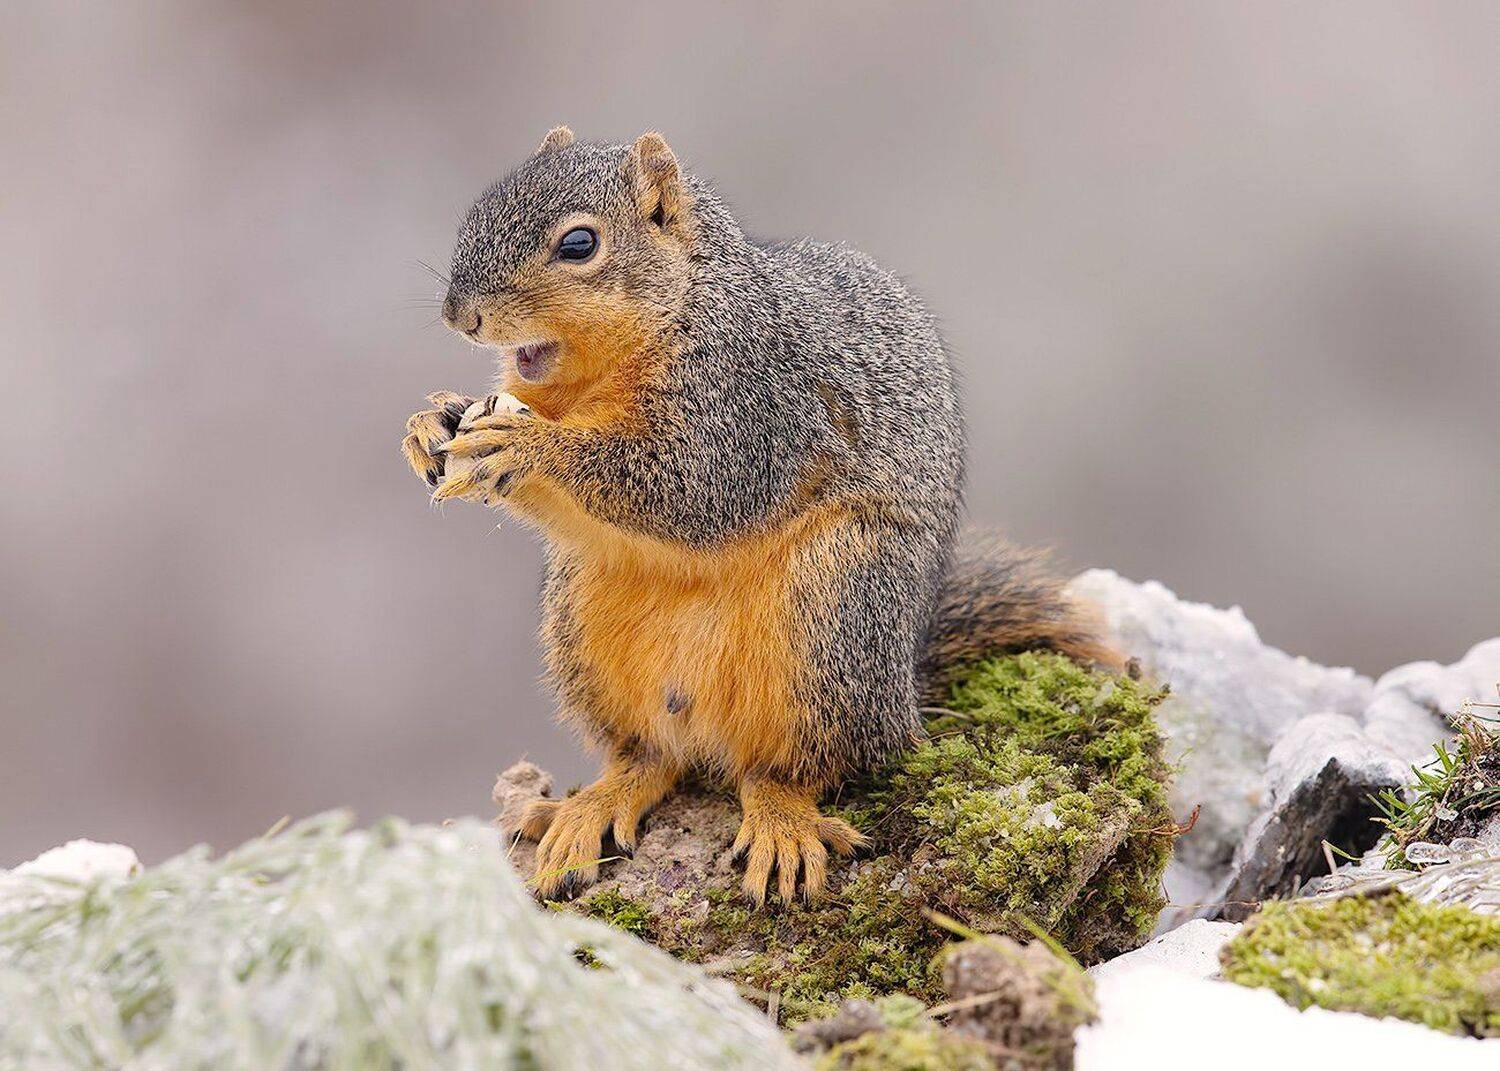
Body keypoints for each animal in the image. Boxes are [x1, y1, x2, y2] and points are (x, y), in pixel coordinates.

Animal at [402, 127, 1117, 905]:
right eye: (481, 208)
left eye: (579, 244)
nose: (460, 315)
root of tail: (904, 691)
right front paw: (430, 424)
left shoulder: (752, 405)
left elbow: (691, 487)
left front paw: (528, 443)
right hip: (583, 623)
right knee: (651, 756)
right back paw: (593, 805)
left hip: (832, 613)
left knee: (806, 764)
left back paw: (782, 820)